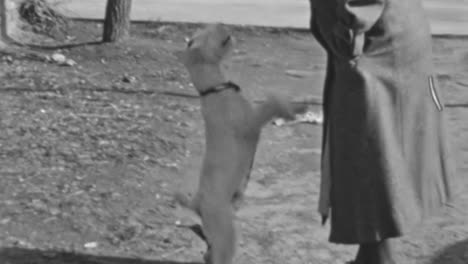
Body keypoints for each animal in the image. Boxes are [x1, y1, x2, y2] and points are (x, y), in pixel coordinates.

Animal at [174, 23, 306, 262]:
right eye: (197, 37)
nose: (221, 23)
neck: (215, 88)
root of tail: (196, 203)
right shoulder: (250, 124)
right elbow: (273, 101)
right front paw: (292, 111)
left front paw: (298, 107)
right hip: (226, 230)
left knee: (209, 253)